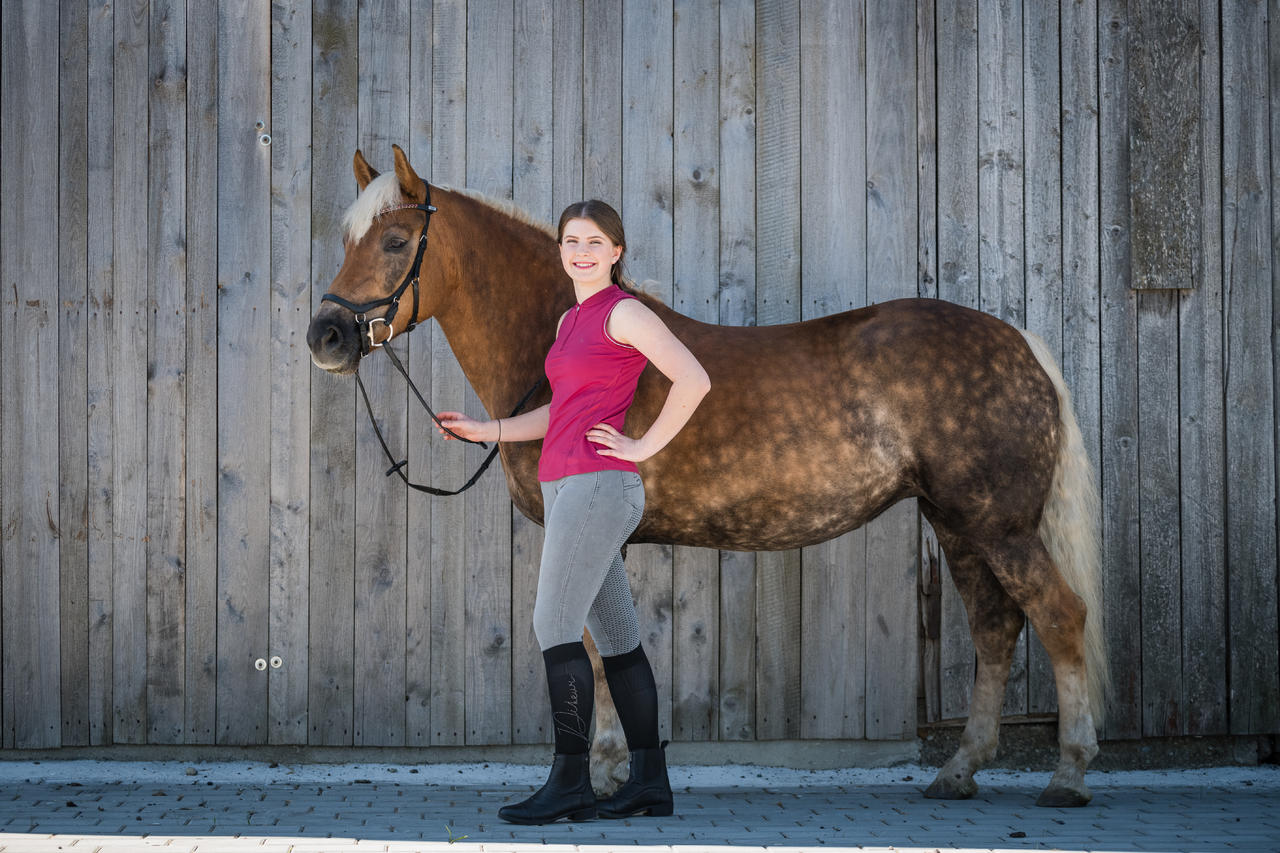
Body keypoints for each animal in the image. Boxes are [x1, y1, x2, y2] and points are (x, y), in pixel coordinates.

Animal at [307, 144, 1111, 804]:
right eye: (348, 239)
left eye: (396, 240)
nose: (327, 335)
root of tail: (1020, 342)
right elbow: (607, 646)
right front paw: (618, 772)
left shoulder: (582, 528)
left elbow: (593, 652)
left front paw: (601, 774)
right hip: (957, 522)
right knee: (996, 627)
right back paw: (959, 770)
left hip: (998, 524)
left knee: (1059, 615)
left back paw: (1069, 774)